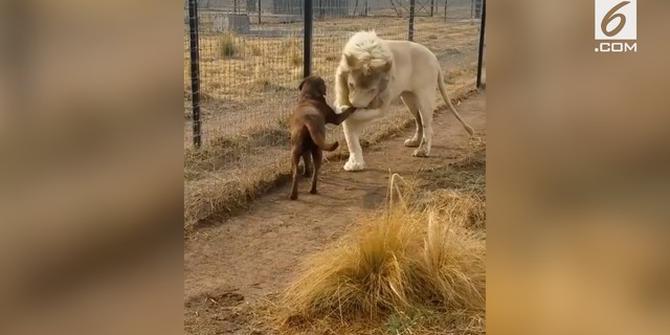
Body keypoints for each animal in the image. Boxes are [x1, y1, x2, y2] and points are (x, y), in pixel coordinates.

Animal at [334, 30, 472, 172]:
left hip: (425, 96)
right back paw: (414, 142)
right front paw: (355, 164)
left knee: (427, 124)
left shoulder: (382, 103)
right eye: (351, 85)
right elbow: (350, 137)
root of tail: (433, 57)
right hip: (409, 98)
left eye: (372, 90)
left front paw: (345, 110)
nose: (354, 105)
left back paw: (423, 150)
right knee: (418, 120)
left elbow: (360, 116)